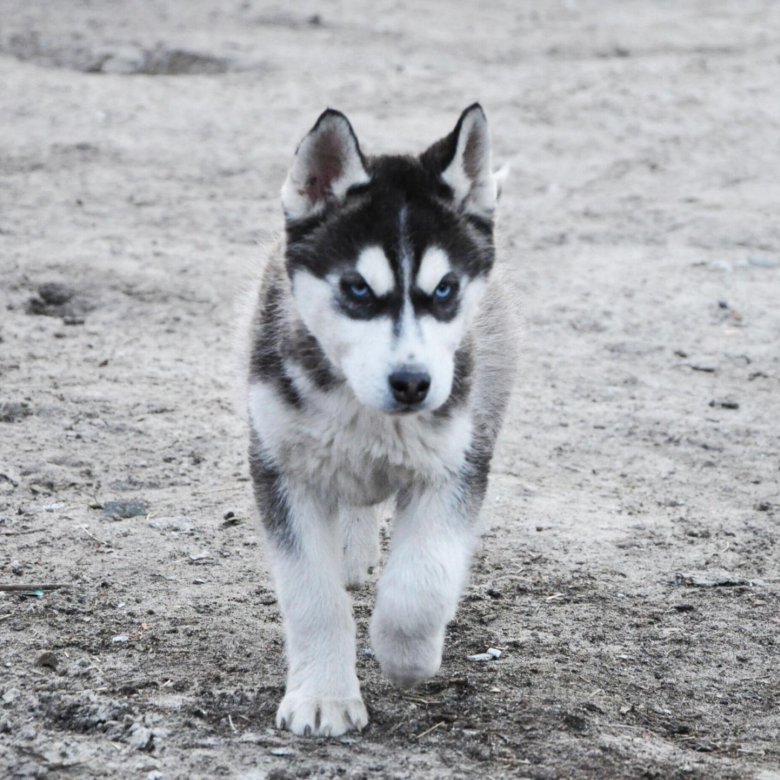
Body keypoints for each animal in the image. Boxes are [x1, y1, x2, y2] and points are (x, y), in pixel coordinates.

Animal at [247, 105, 516, 736]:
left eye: (445, 290)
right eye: (357, 288)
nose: (413, 383)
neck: (363, 409)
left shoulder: (456, 465)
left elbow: (422, 583)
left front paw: (406, 656)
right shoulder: (281, 468)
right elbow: (312, 598)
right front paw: (323, 696)